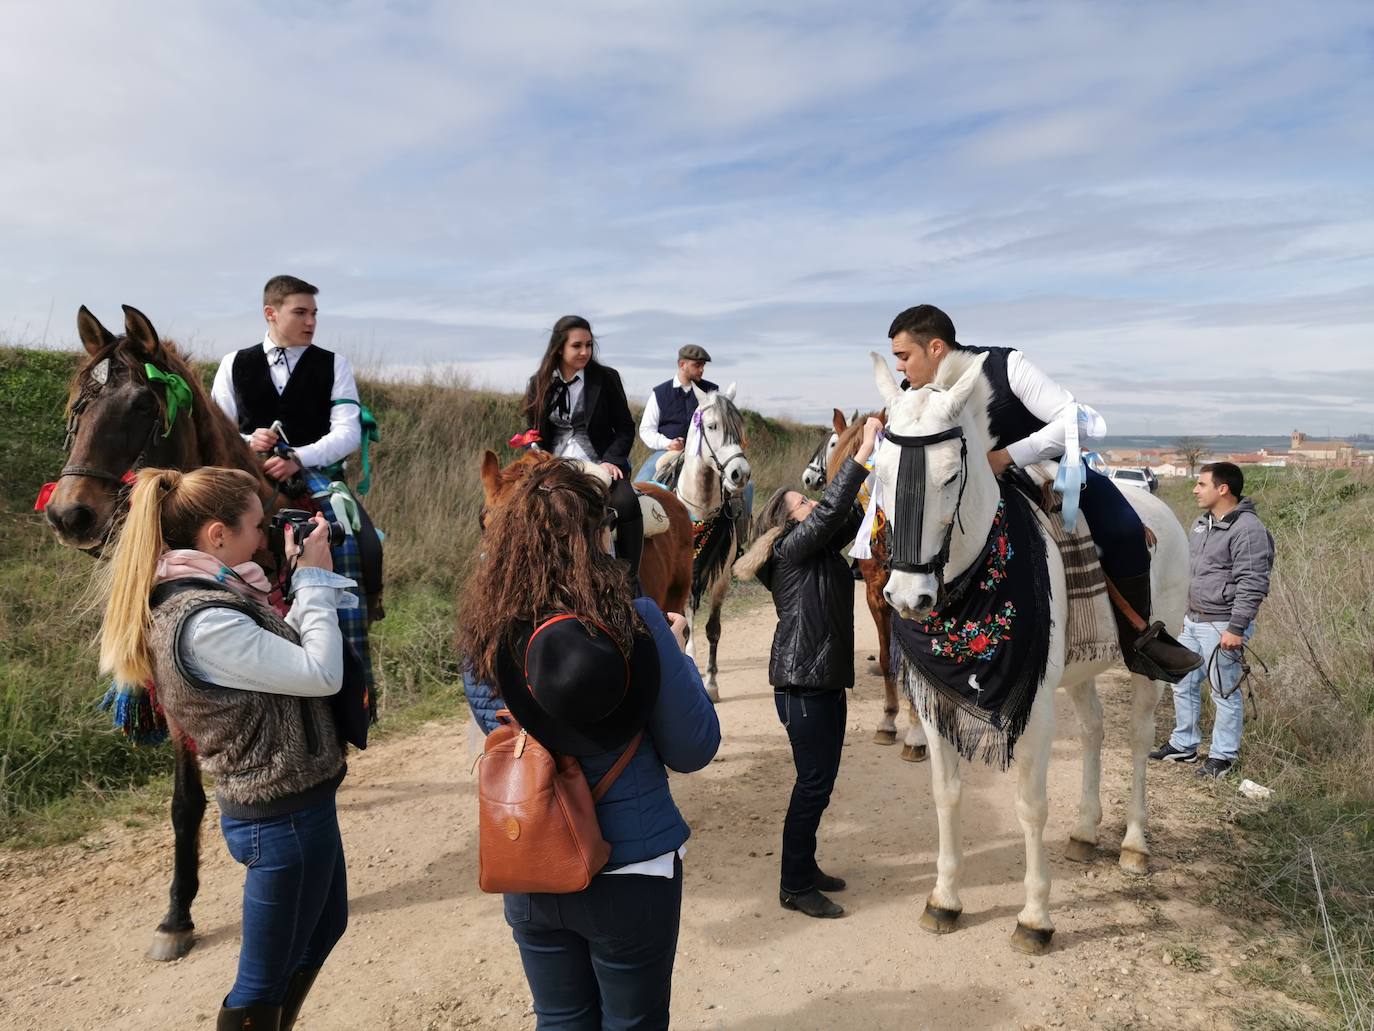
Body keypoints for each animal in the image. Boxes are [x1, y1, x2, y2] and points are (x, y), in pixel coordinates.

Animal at [868, 351, 1192, 956]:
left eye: (951, 475)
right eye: (881, 473)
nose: (907, 597)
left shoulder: (1035, 706)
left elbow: (1029, 804)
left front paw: (1035, 916)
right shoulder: (939, 702)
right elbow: (946, 794)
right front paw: (945, 898)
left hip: (1146, 667)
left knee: (1138, 739)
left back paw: (1134, 844)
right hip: (1081, 671)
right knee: (1092, 730)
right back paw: (1086, 831)